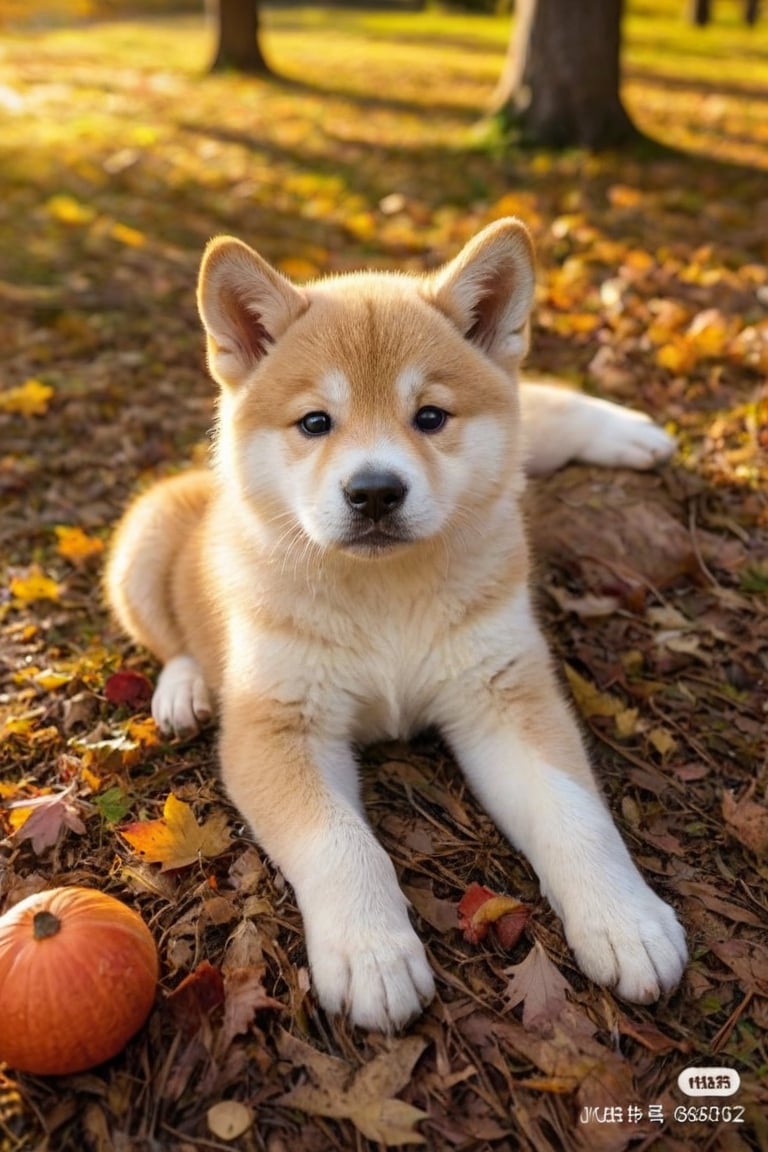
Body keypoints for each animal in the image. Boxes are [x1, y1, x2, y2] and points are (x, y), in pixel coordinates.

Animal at [105, 220, 686, 1032]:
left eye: (431, 418)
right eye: (316, 423)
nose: (375, 491)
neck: (383, 601)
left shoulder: (504, 695)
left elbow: (576, 815)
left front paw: (625, 919)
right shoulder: (277, 727)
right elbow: (342, 842)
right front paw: (372, 952)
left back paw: (627, 431)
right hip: (144, 542)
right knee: (172, 641)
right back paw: (183, 691)